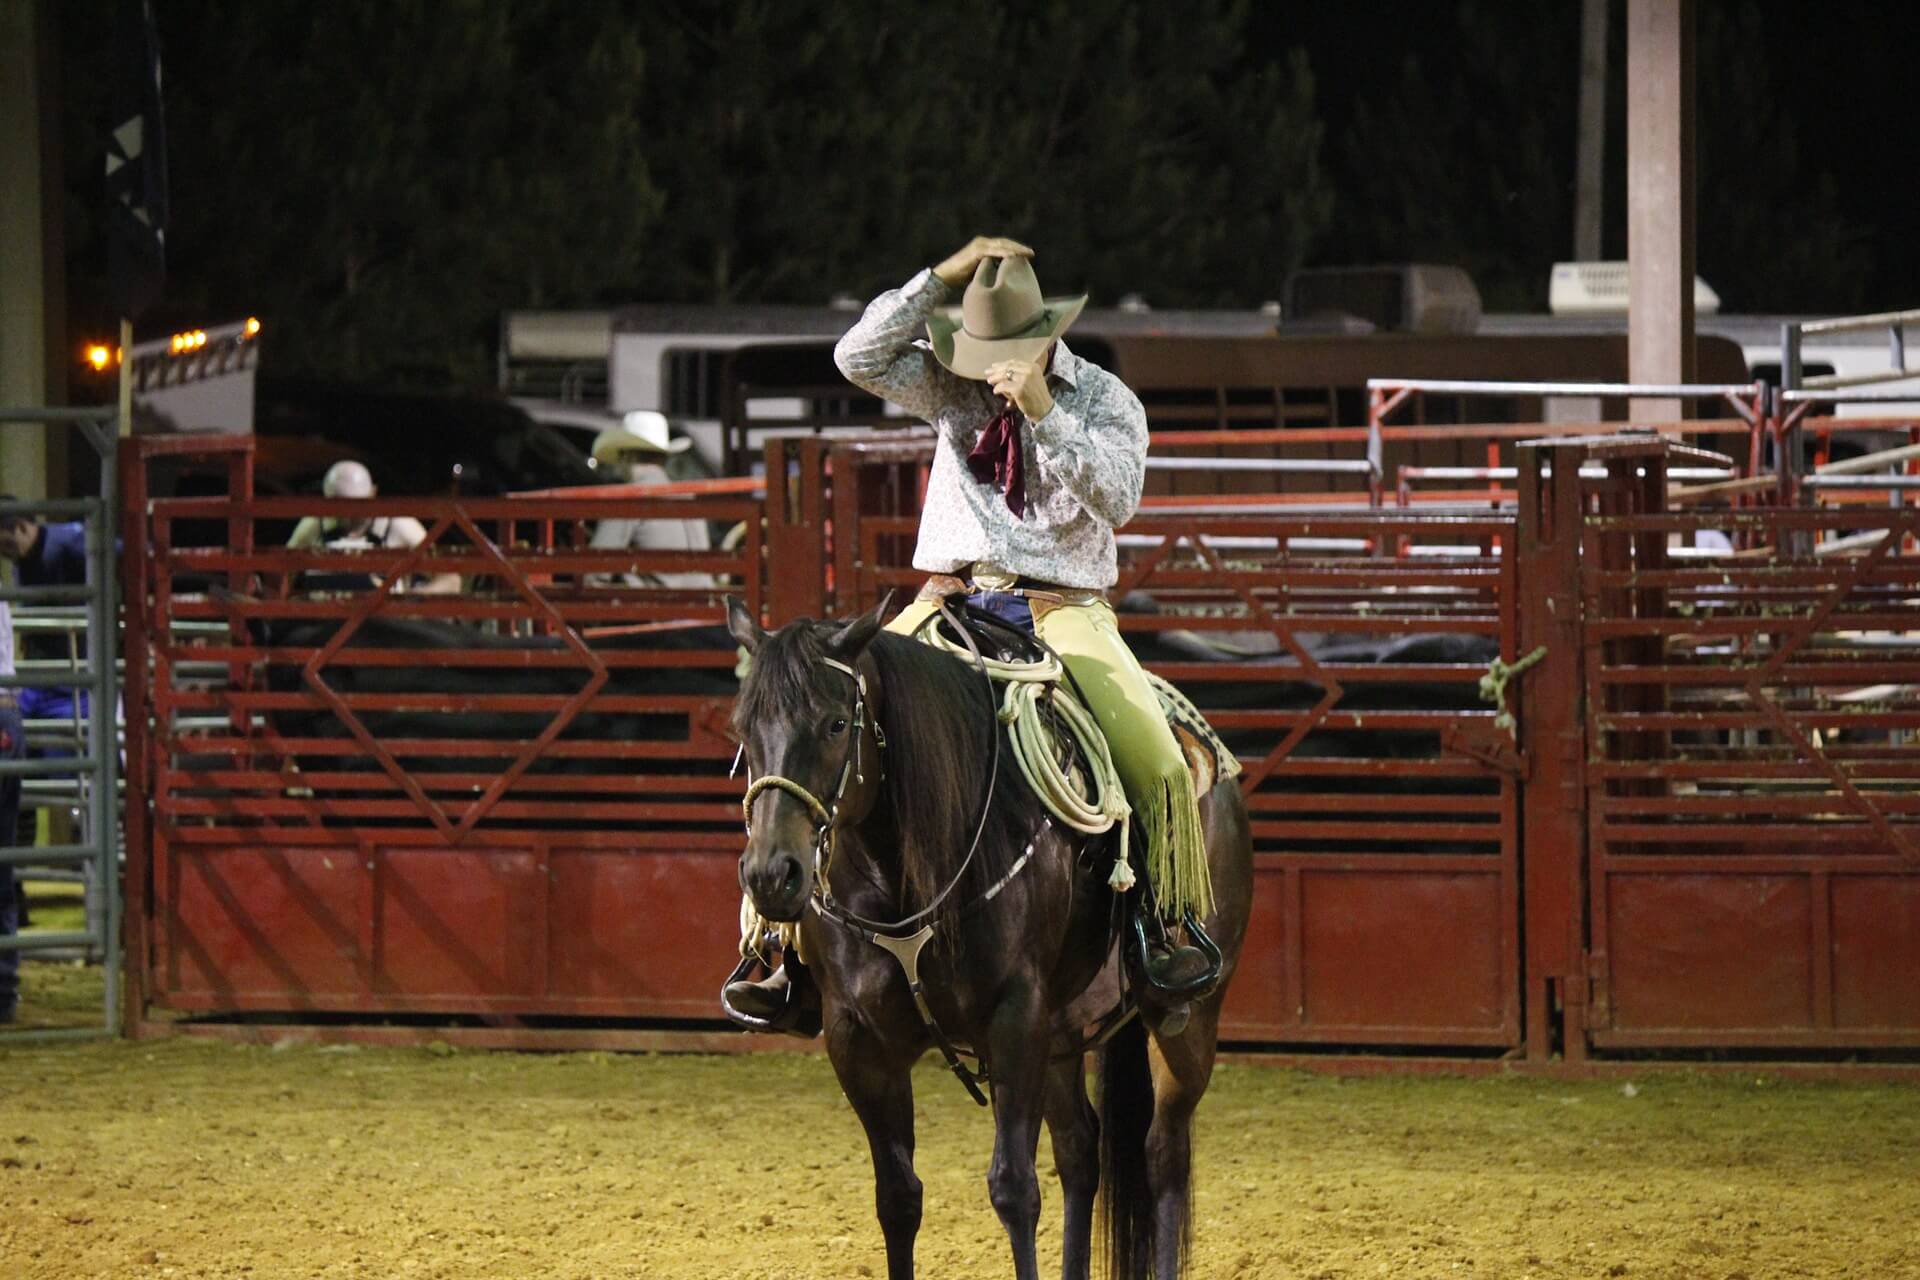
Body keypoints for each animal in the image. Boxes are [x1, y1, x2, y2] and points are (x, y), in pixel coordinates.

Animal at [725, 602, 1251, 1280]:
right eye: (742, 730)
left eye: (837, 722)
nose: (771, 874)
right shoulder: (858, 1041)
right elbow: (898, 1198)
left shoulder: (1013, 1022)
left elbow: (1014, 1190)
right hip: (1062, 1036)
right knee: (1080, 1152)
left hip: (1185, 1022)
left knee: (1163, 1154)